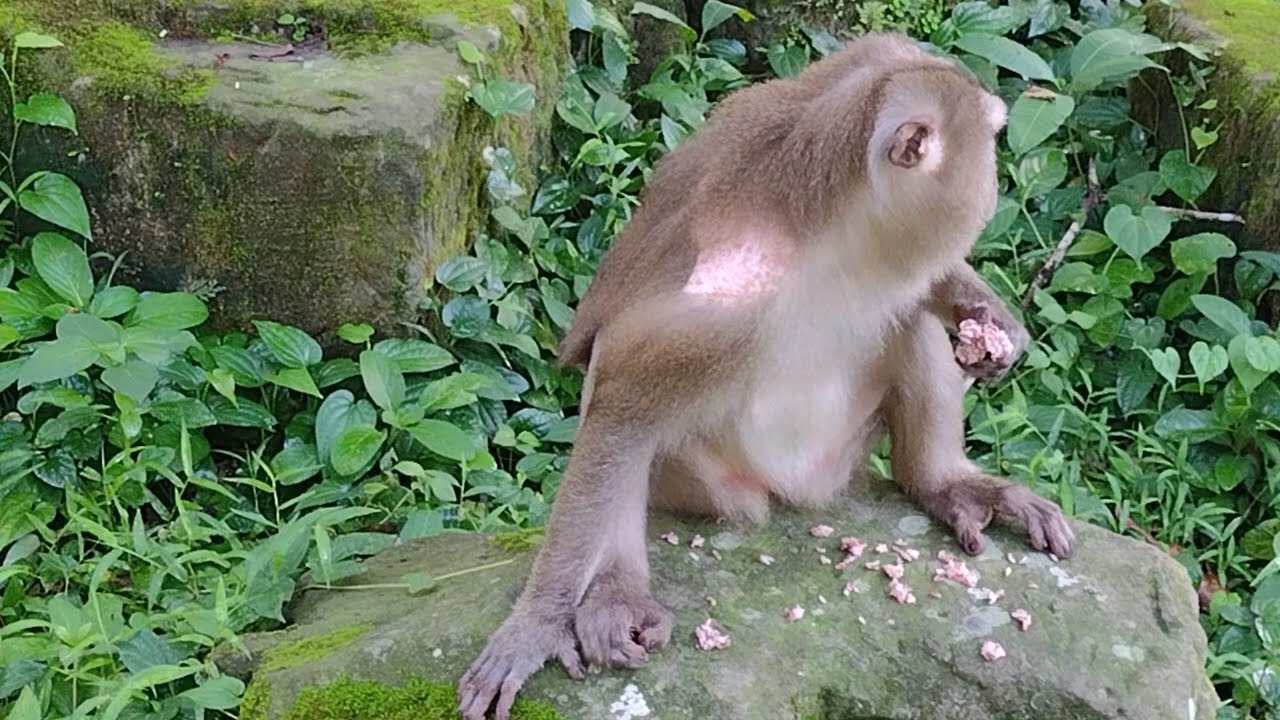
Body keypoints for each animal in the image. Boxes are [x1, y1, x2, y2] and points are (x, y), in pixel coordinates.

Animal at [457, 32, 1074, 720]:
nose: (996, 181)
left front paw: (992, 324)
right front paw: (537, 624)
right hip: (711, 483)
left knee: (906, 322)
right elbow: (621, 394)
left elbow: (921, 285)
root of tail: (796, 489)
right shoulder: (725, 310)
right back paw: (618, 590)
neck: (837, 233)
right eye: (988, 141)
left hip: (839, 454)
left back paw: (941, 482)